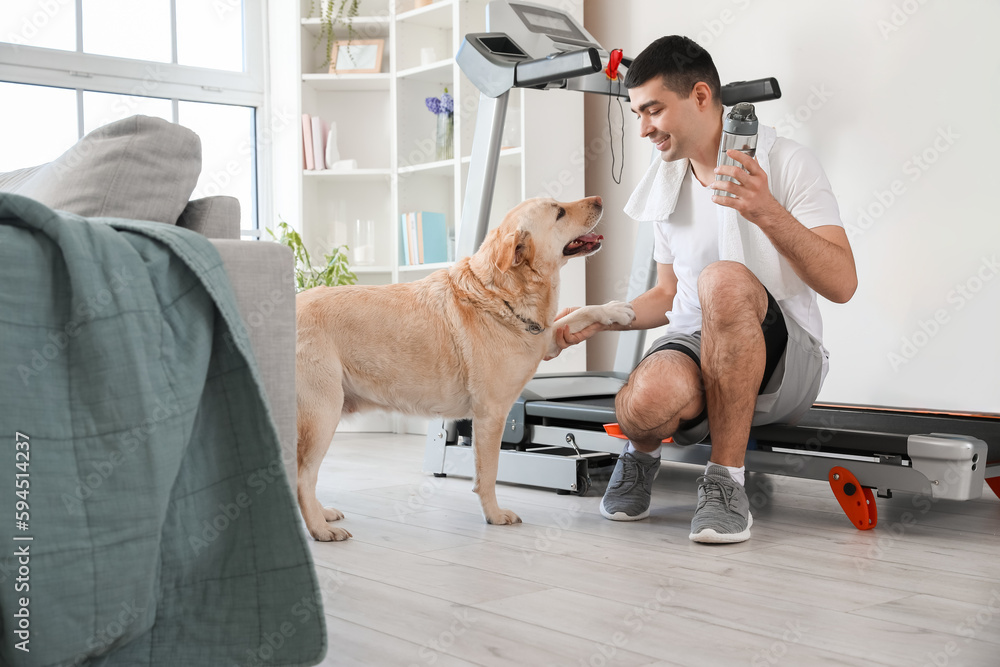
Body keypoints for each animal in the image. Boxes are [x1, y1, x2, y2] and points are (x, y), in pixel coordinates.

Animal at [294, 196, 632, 540]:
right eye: (559, 212)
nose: (600, 199)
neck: (500, 294)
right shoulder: (491, 415)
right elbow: (489, 473)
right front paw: (494, 515)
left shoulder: (545, 339)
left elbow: (576, 316)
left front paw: (616, 310)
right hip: (323, 413)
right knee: (303, 477)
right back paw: (320, 529)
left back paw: (322, 514)